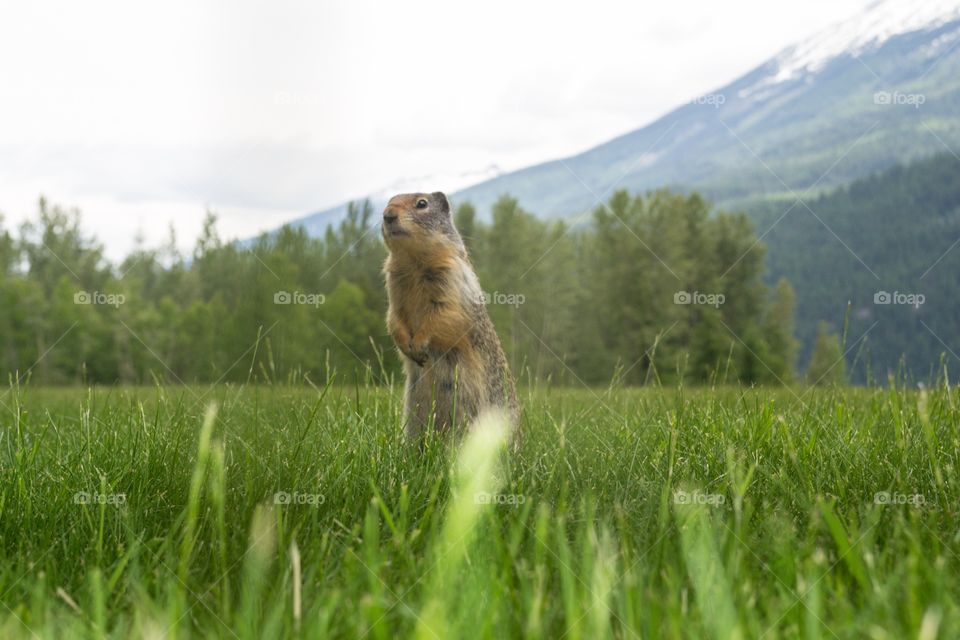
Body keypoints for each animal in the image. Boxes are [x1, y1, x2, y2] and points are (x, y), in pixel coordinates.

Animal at [380, 192, 516, 438]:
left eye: (422, 203)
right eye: (388, 202)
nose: (388, 215)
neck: (414, 262)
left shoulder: (450, 278)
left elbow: (443, 316)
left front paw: (419, 344)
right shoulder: (394, 285)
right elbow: (393, 317)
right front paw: (405, 343)